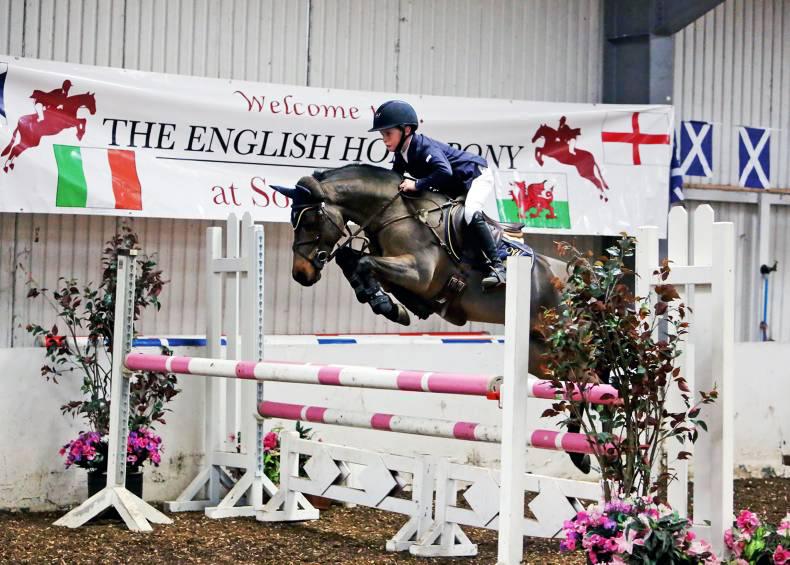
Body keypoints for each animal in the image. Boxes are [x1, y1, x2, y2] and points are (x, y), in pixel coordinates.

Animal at [271, 164, 592, 473]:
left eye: (310, 222)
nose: (301, 274)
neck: (393, 213)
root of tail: (582, 280)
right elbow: (351, 261)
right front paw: (386, 304)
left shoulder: (420, 273)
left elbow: (363, 262)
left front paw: (386, 304)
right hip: (543, 357)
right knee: (577, 387)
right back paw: (583, 453)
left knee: (589, 386)